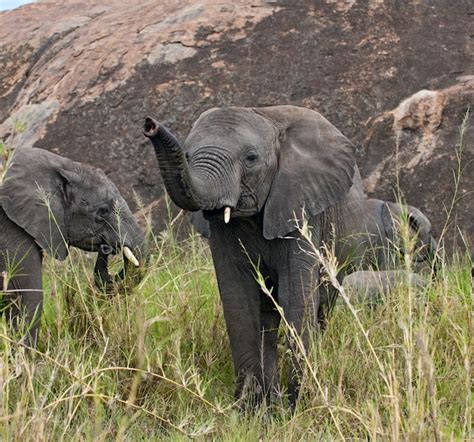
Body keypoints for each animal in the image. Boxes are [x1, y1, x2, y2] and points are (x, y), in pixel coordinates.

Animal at [143, 105, 366, 410]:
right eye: (187, 156)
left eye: (250, 158)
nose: (150, 125)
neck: (269, 118)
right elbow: (238, 297)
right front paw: (251, 409)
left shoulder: (300, 205)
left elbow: (297, 294)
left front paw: (297, 405)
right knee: (268, 318)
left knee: (322, 304)